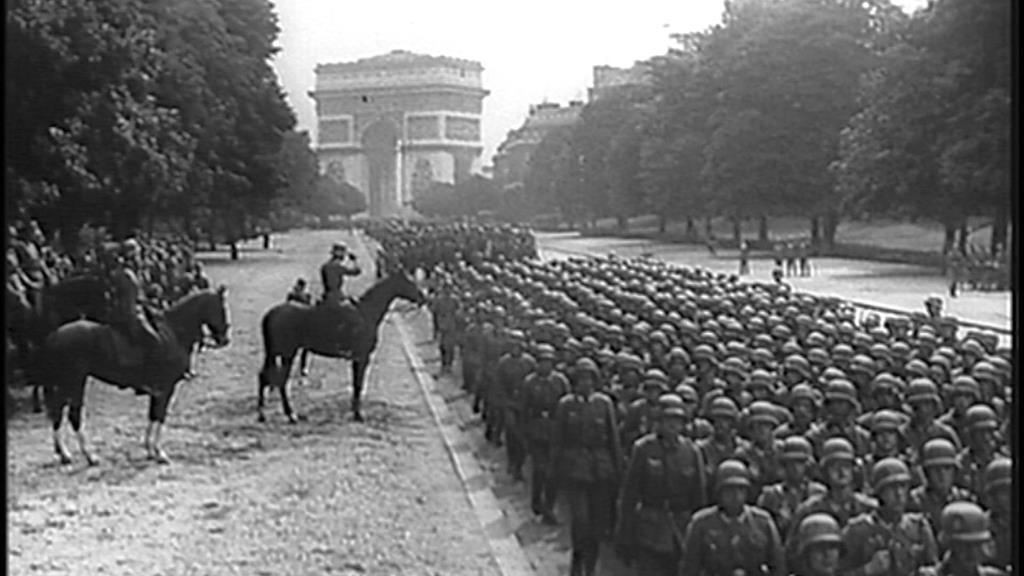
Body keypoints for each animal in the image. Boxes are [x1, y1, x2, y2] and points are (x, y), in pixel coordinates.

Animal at [41, 284, 230, 463]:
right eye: (221, 308)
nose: (225, 340)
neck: (174, 332)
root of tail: (56, 334)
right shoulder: (166, 389)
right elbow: (160, 416)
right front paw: (159, 452)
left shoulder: (159, 392)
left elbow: (152, 415)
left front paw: (150, 450)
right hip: (75, 382)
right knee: (74, 415)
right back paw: (89, 456)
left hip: (67, 383)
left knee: (58, 412)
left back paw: (64, 454)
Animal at [264, 268, 428, 422]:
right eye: (409, 282)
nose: (423, 298)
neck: (366, 313)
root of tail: (271, 313)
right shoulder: (362, 358)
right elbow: (359, 385)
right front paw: (358, 414)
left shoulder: (357, 359)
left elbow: (356, 384)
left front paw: (355, 411)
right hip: (288, 354)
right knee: (282, 382)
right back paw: (291, 415)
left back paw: (265, 414)